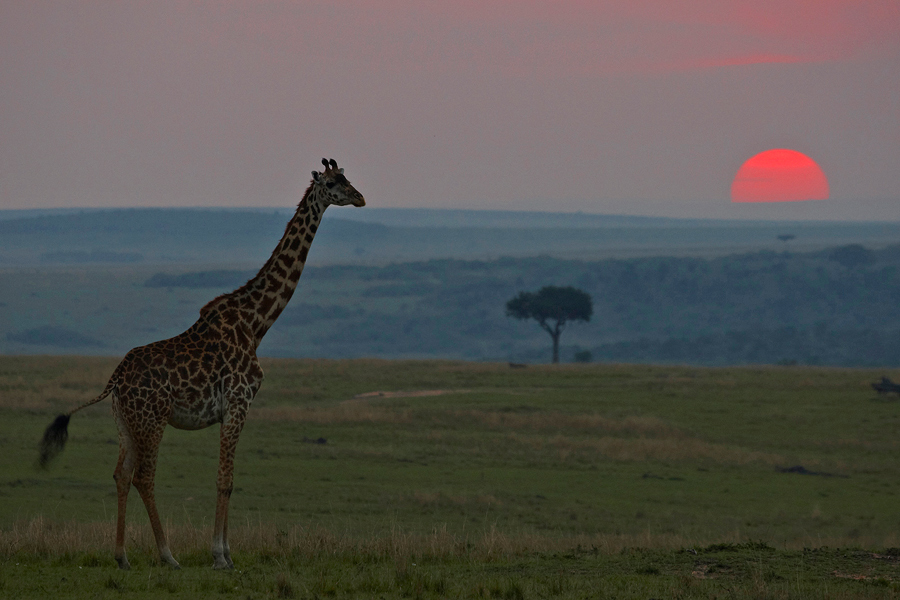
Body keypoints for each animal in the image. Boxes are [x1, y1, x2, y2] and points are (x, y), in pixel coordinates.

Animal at [39, 158, 365, 570]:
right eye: (335, 182)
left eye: (348, 177)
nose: (361, 198)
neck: (257, 323)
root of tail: (115, 380)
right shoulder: (239, 403)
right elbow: (225, 481)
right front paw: (220, 556)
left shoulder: (229, 410)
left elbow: (227, 480)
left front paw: (225, 551)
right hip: (152, 420)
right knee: (144, 476)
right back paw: (167, 555)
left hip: (126, 423)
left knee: (120, 474)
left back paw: (122, 556)